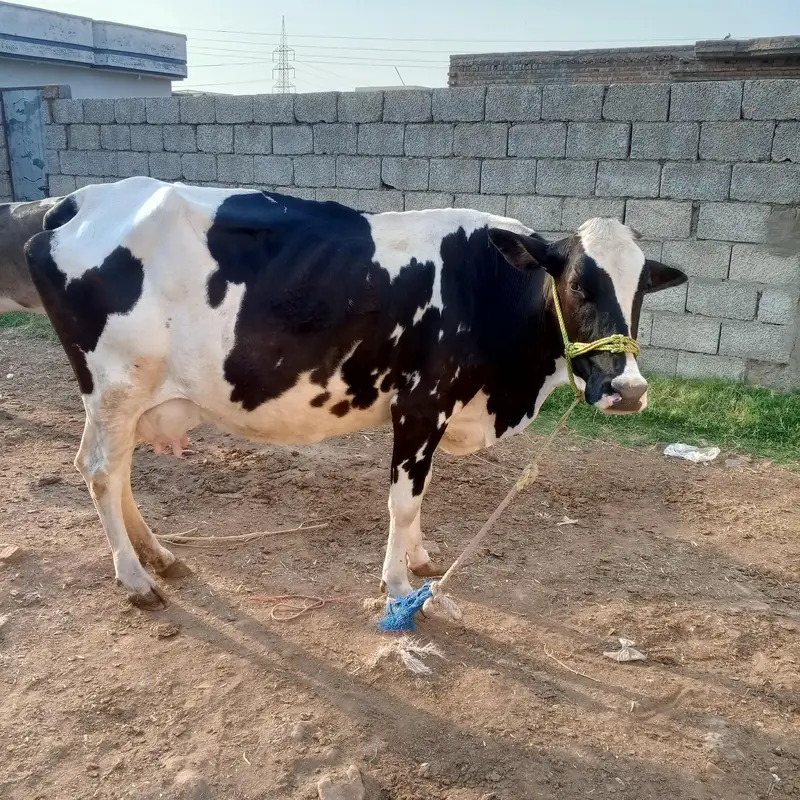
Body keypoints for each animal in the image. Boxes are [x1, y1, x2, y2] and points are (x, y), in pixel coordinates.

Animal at [24, 176, 687, 610]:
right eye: (577, 284)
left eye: (641, 291)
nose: (627, 388)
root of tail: (77, 202)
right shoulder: (420, 403)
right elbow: (402, 500)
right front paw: (398, 586)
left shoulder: (436, 414)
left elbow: (421, 494)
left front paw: (419, 560)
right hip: (115, 382)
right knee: (100, 470)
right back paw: (135, 579)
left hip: (131, 395)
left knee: (118, 470)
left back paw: (158, 557)